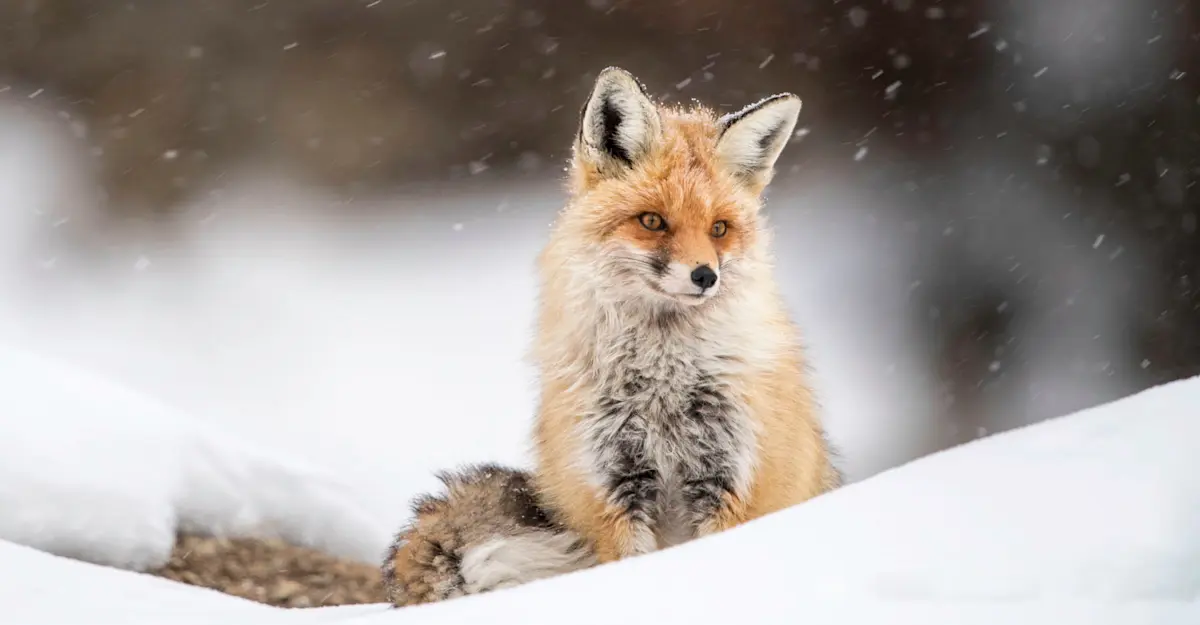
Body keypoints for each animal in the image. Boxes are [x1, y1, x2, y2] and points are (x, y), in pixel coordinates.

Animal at [531, 67, 841, 563]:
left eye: (719, 228)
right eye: (653, 221)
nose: (705, 276)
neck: (665, 380)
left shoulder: (732, 478)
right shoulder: (613, 488)